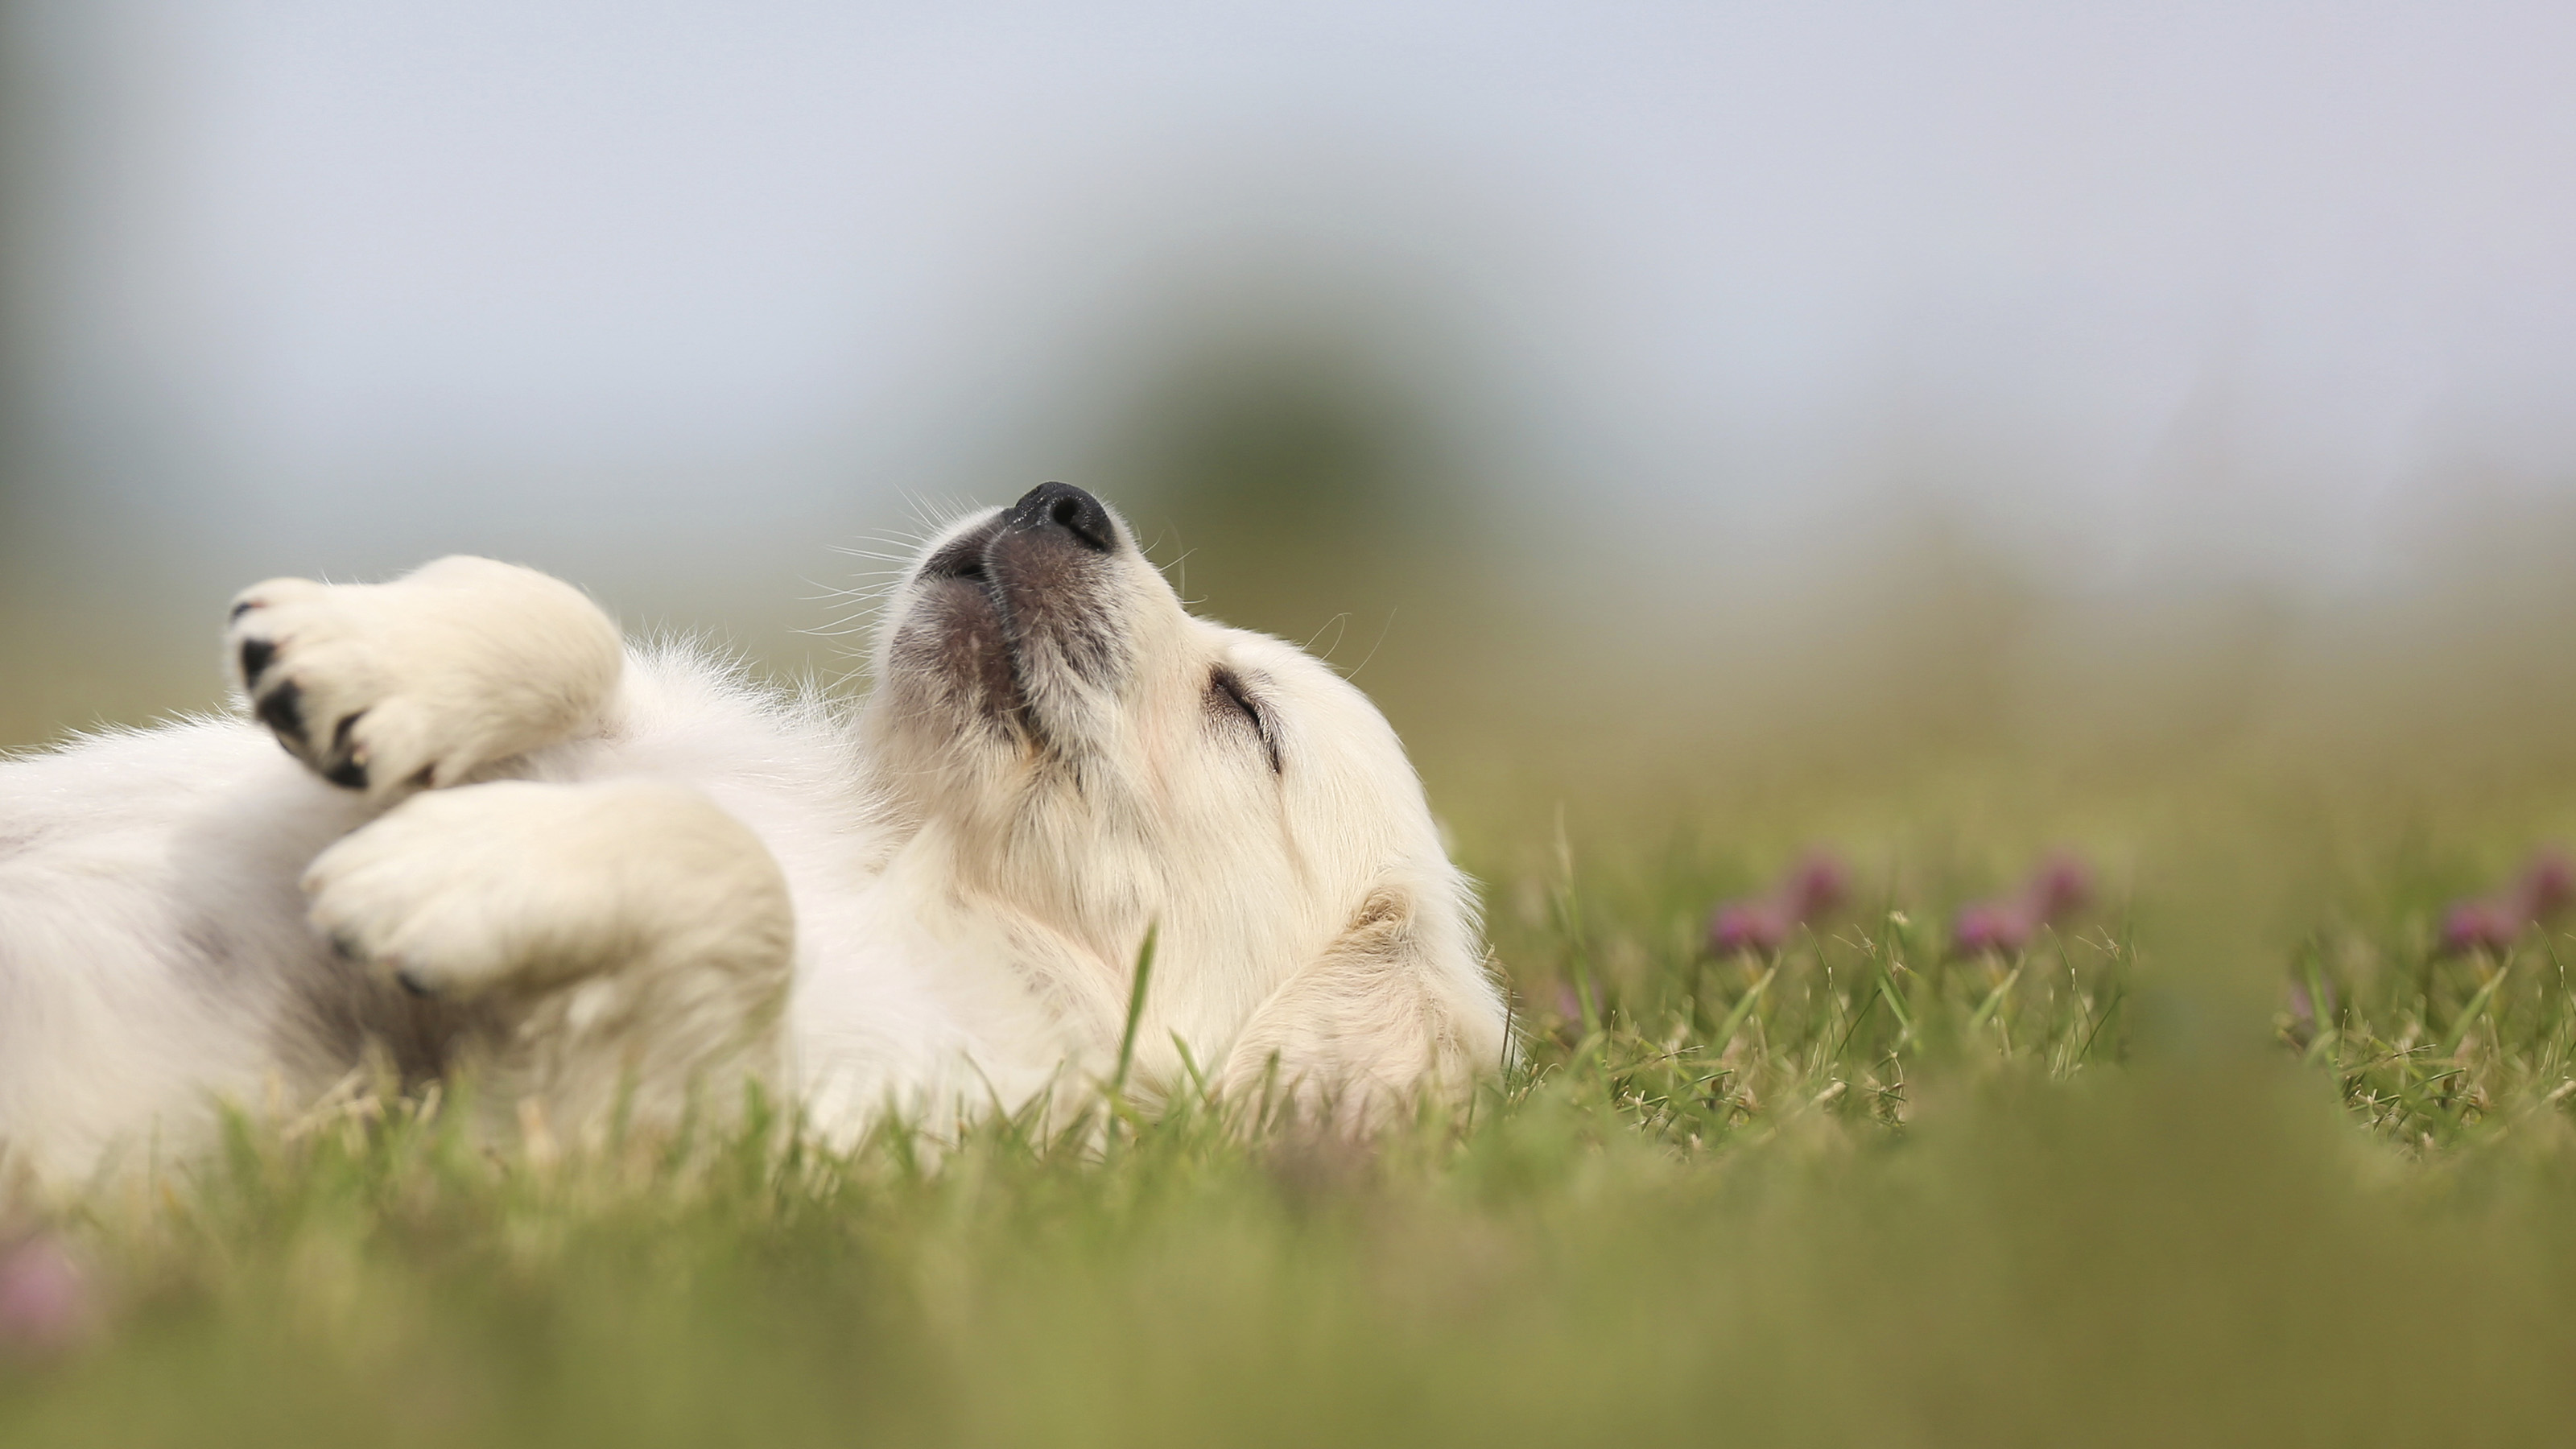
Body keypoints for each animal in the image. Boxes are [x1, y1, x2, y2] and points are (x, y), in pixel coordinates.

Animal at [0, 479, 1504, 1180]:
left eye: (1246, 715)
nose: (1058, 498)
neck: (923, 863)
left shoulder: (648, 1144)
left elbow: (736, 882)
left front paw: (449, 867)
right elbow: (578, 628)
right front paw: (365, 653)